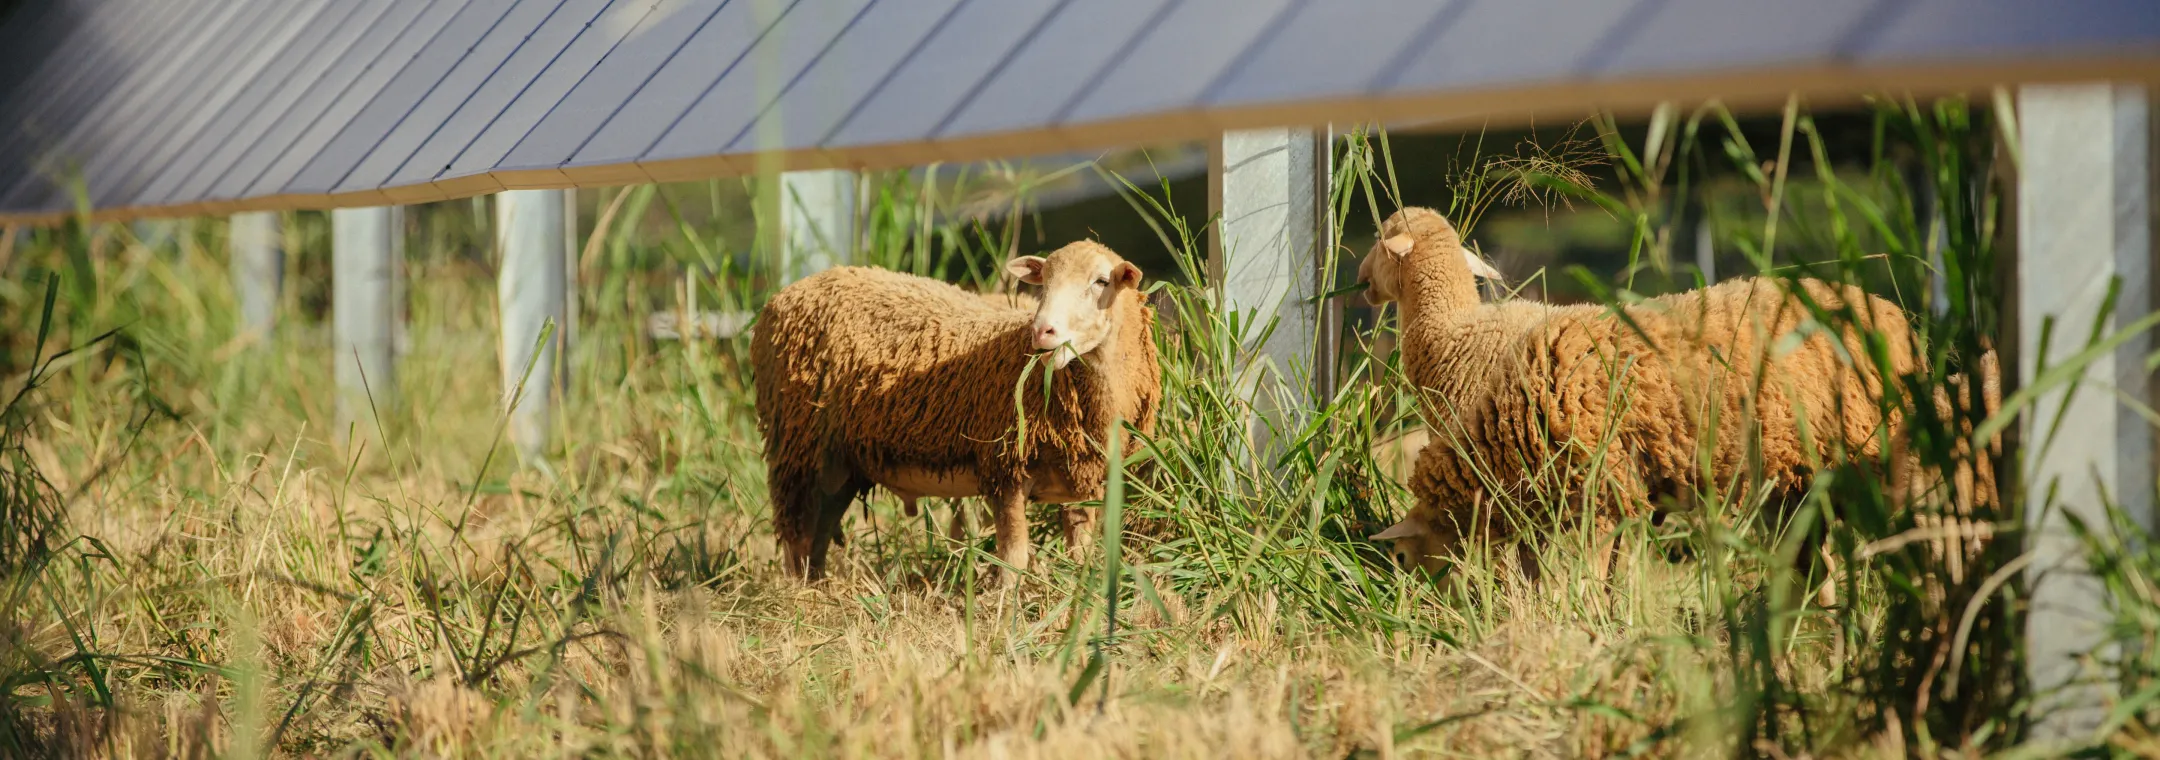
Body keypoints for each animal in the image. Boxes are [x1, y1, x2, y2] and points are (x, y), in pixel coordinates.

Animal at [760, 240, 1166, 578]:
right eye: (1044, 281)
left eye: (1101, 281)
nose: (1042, 331)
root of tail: (785, 294)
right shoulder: (1006, 468)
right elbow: (1014, 560)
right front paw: (1006, 612)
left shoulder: (1082, 478)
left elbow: (1080, 553)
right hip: (796, 447)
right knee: (796, 535)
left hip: (841, 462)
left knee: (819, 533)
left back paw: (819, 588)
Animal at [1347, 205, 1944, 574]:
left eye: (1378, 240)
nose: (1358, 281)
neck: (1456, 333)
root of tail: (1898, 321)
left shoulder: (1590, 490)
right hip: (1802, 479)